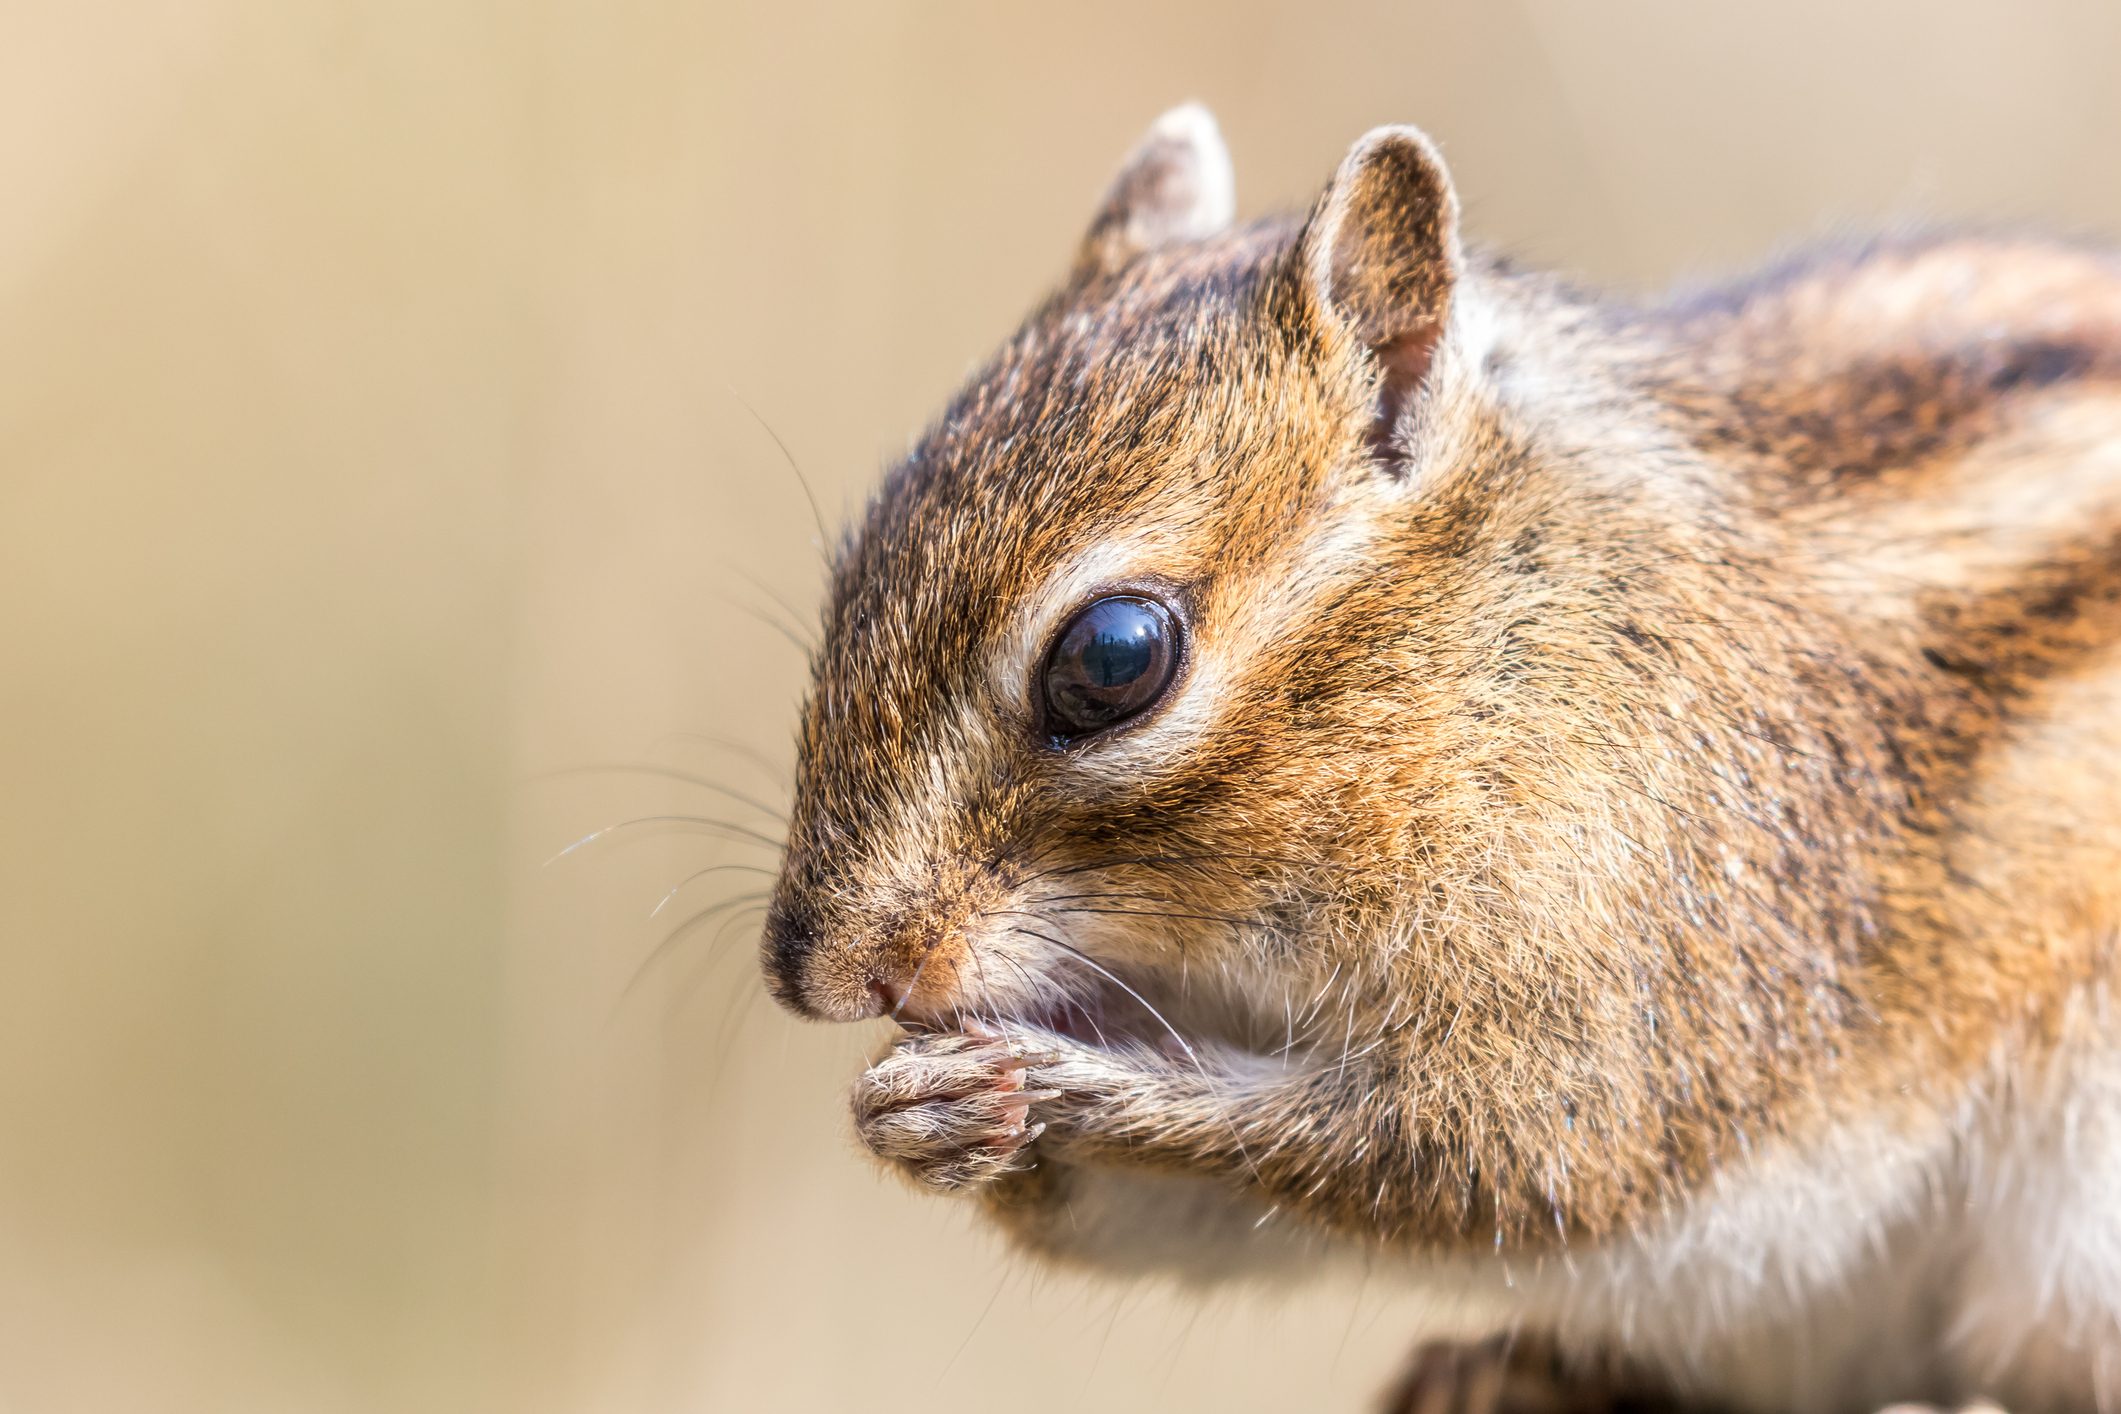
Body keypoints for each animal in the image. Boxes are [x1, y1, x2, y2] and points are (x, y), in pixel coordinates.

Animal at [756, 104, 2121, 1413]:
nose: (818, 976)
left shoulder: (1647, 975)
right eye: (855, 565)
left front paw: (1053, 1085)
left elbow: (1491, 1156)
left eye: (1112, 657)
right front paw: (911, 1113)